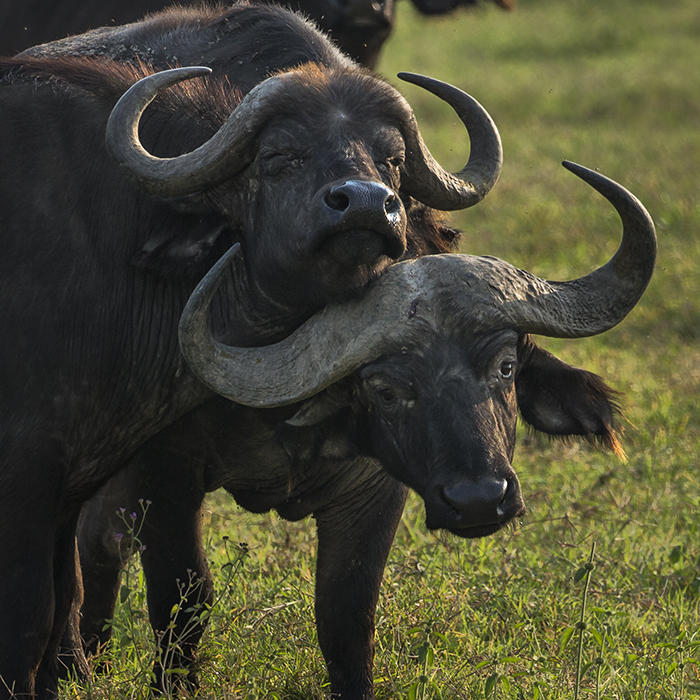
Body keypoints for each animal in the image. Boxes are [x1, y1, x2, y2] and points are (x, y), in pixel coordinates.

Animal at [0, 4, 504, 696]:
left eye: (394, 160)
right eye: (279, 157)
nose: (366, 204)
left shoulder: (376, 482)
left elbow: (347, 616)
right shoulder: (87, 467)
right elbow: (165, 597)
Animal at [68, 165, 652, 700]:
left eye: (506, 367)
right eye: (385, 391)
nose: (480, 500)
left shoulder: (375, 489)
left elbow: (346, 613)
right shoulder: (164, 469)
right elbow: (181, 597)